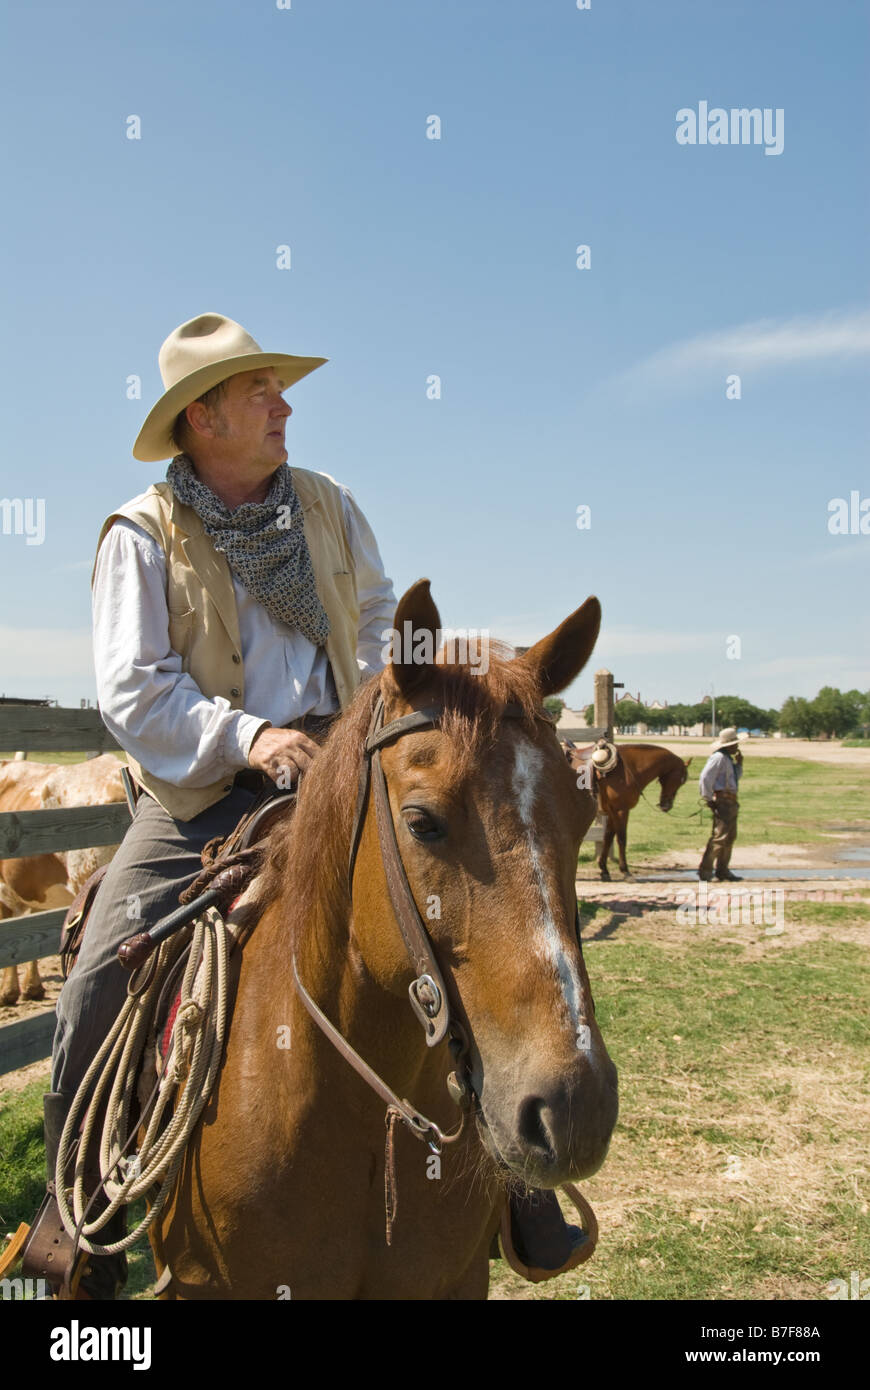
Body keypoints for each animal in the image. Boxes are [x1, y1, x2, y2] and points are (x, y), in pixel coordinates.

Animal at [561, 739, 692, 878]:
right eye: (681, 779)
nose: (666, 806)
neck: (629, 768)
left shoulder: (612, 812)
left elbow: (608, 837)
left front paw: (604, 869)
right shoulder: (621, 810)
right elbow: (622, 838)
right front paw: (625, 871)